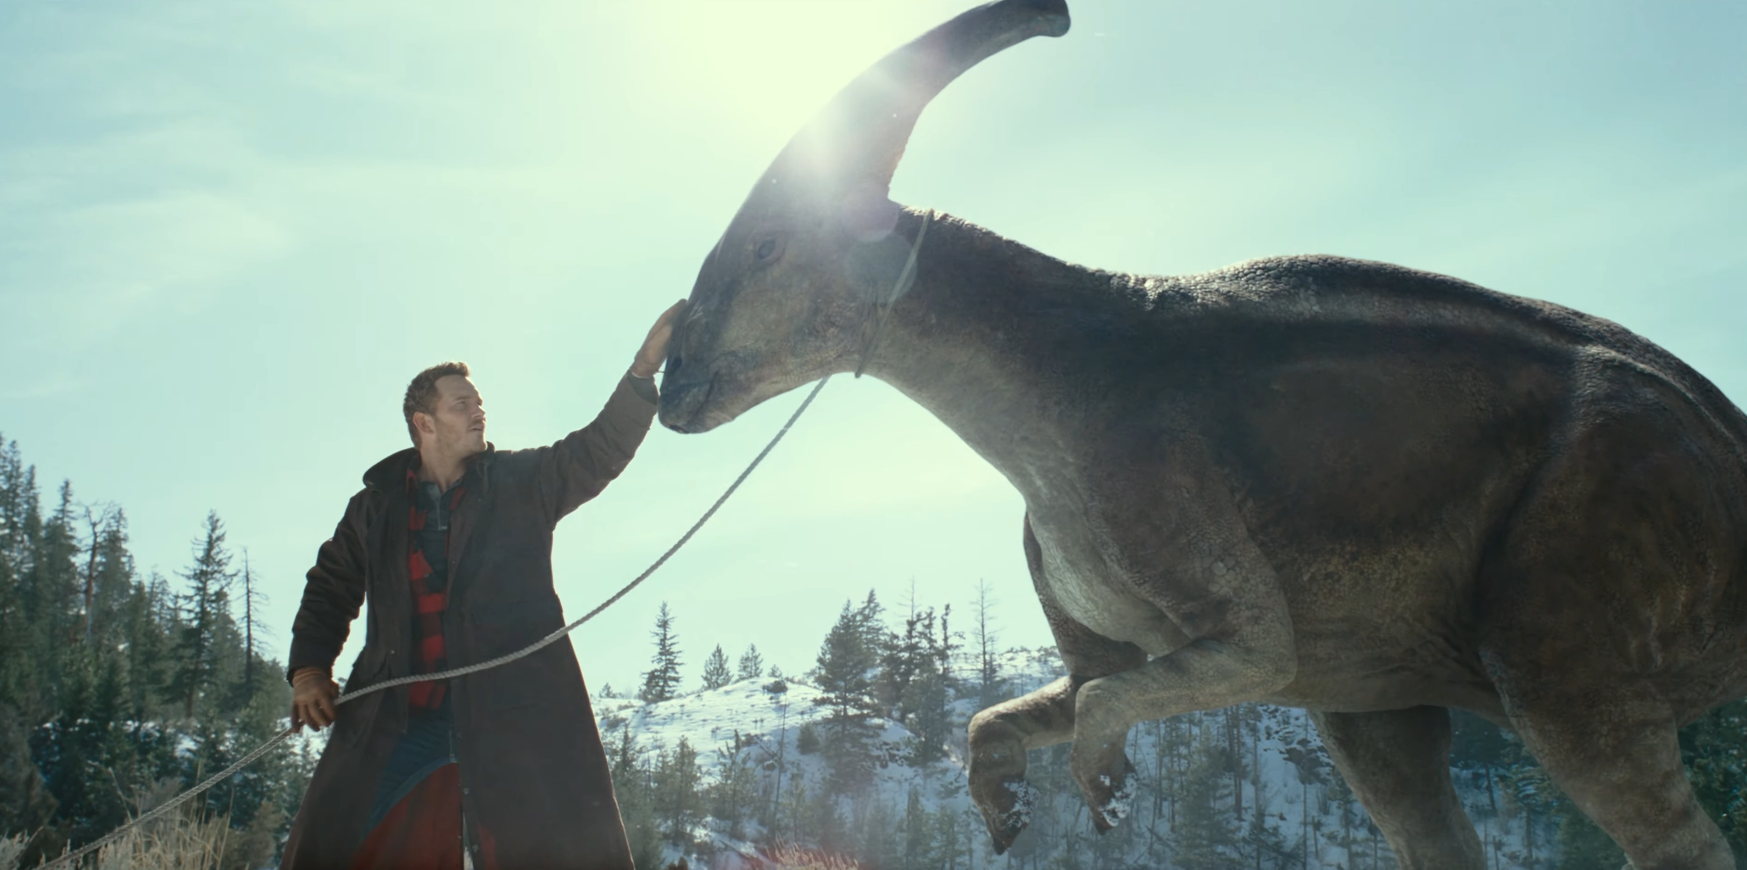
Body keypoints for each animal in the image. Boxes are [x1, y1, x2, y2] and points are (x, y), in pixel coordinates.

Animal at [657, 1, 1747, 867]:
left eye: (766, 248)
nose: (673, 387)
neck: (1041, 389)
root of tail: (1726, 433)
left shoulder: (1170, 505)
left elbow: (1205, 665)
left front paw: (1104, 784)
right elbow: (1029, 705)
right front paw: (1006, 805)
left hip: (1588, 545)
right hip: (1393, 674)